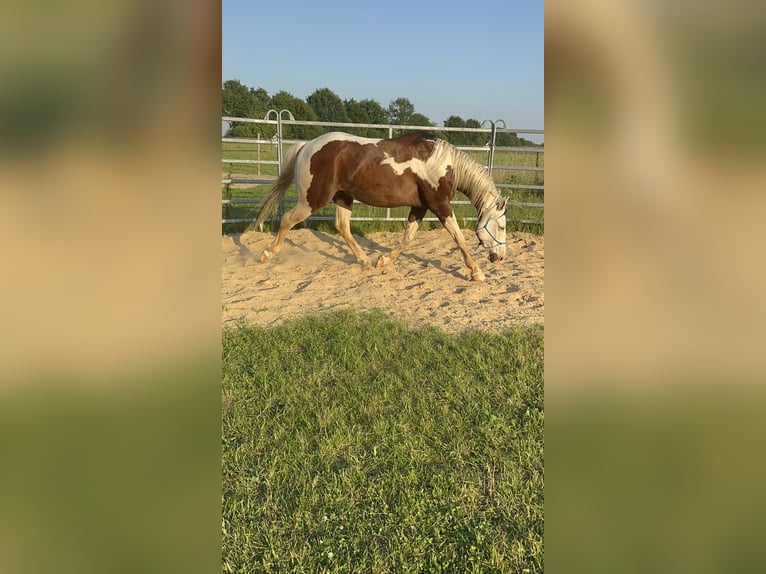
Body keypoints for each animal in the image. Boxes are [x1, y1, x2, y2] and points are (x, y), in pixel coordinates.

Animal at [255, 131, 510, 284]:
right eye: (501, 226)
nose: (499, 258)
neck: (442, 164)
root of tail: (307, 145)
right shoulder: (440, 205)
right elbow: (459, 238)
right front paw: (476, 272)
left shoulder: (420, 208)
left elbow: (408, 238)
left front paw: (383, 260)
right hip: (312, 200)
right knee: (287, 220)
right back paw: (266, 254)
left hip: (343, 198)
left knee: (342, 227)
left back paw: (364, 261)